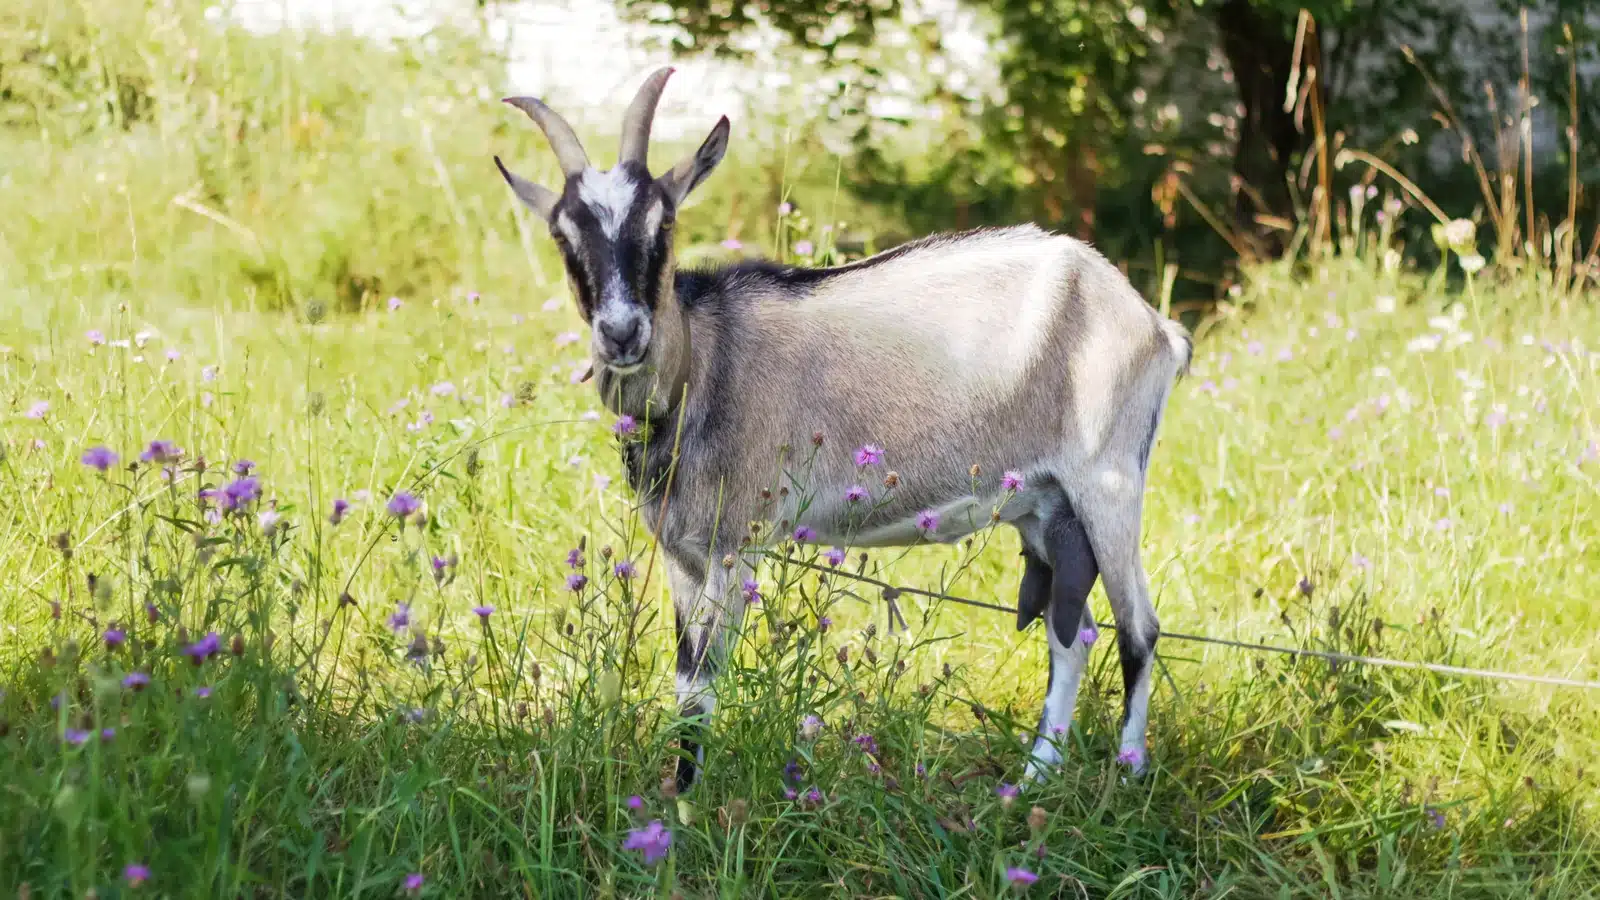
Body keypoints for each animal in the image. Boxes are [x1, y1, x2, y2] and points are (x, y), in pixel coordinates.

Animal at [494, 67, 1192, 791]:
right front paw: (673, 799)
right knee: (1070, 632)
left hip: (1109, 481)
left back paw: (1129, 773)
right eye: (563, 235)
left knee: (1139, 629)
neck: (708, 364)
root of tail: (1153, 325)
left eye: (663, 222)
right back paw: (1029, 780)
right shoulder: (681, 551)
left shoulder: (734, 544)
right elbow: (686, 681)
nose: (623, 332)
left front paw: (687, 808)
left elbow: (704, 688)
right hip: (1045, 506)